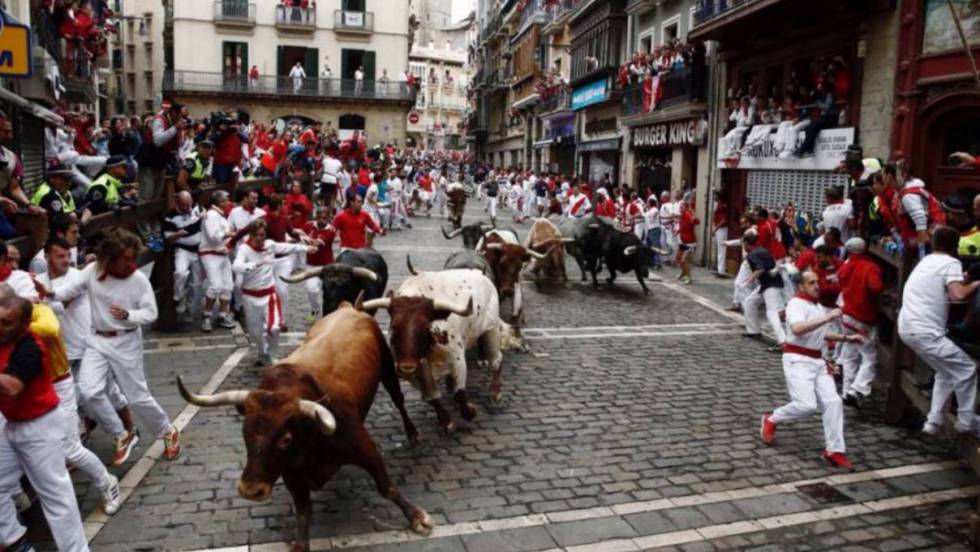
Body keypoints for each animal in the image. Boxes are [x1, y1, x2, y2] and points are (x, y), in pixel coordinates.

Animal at [175, 304, 432, 548]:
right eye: (244, 432)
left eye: (285, 439)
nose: (250, 490)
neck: (312, 437)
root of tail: (349, 308)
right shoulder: (291, 474)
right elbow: (303, 513)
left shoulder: (365, 447)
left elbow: (387, 487)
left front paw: (416, 516)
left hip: (389, 369)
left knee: (399, 400)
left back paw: (413, 434)